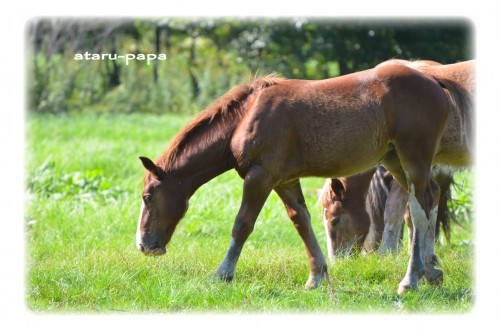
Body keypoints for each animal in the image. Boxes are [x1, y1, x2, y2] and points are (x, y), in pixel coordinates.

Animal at [138, 61, 472, 294]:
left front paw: (223, 274)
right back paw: (431, 273)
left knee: (417, 210)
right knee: (429, 199)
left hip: (413, 157)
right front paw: (316, 276)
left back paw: (410, 280)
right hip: (395, 160)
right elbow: (301, 221)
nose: (144, 245)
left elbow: (242, 225)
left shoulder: (260, 177)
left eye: (147, 196)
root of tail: (433, 80)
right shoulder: (284, 181)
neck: (246, 117)